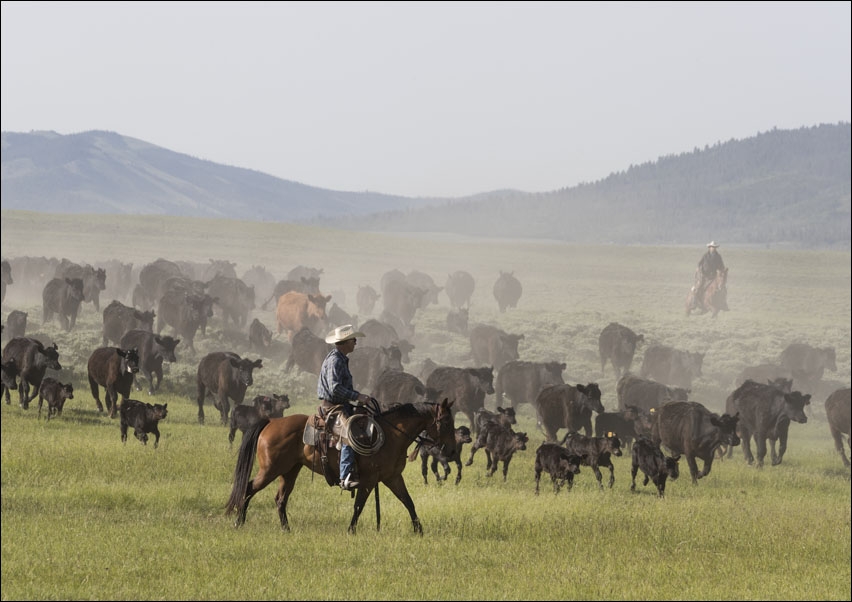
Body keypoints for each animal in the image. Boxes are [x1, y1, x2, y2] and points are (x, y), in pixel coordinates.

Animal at [223, 398, 456, 536]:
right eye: (445, 422)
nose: (453, 451)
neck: (391, 435)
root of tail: (271, 421)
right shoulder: (368, 480)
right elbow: (359, 506)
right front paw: (351, 531)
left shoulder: (393, 478)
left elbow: (408, 502)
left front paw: (419, 530)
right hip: (270, 470)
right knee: (249, 488)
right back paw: (238, 522)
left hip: (289, 471)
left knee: (280, 499)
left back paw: (286, 530)